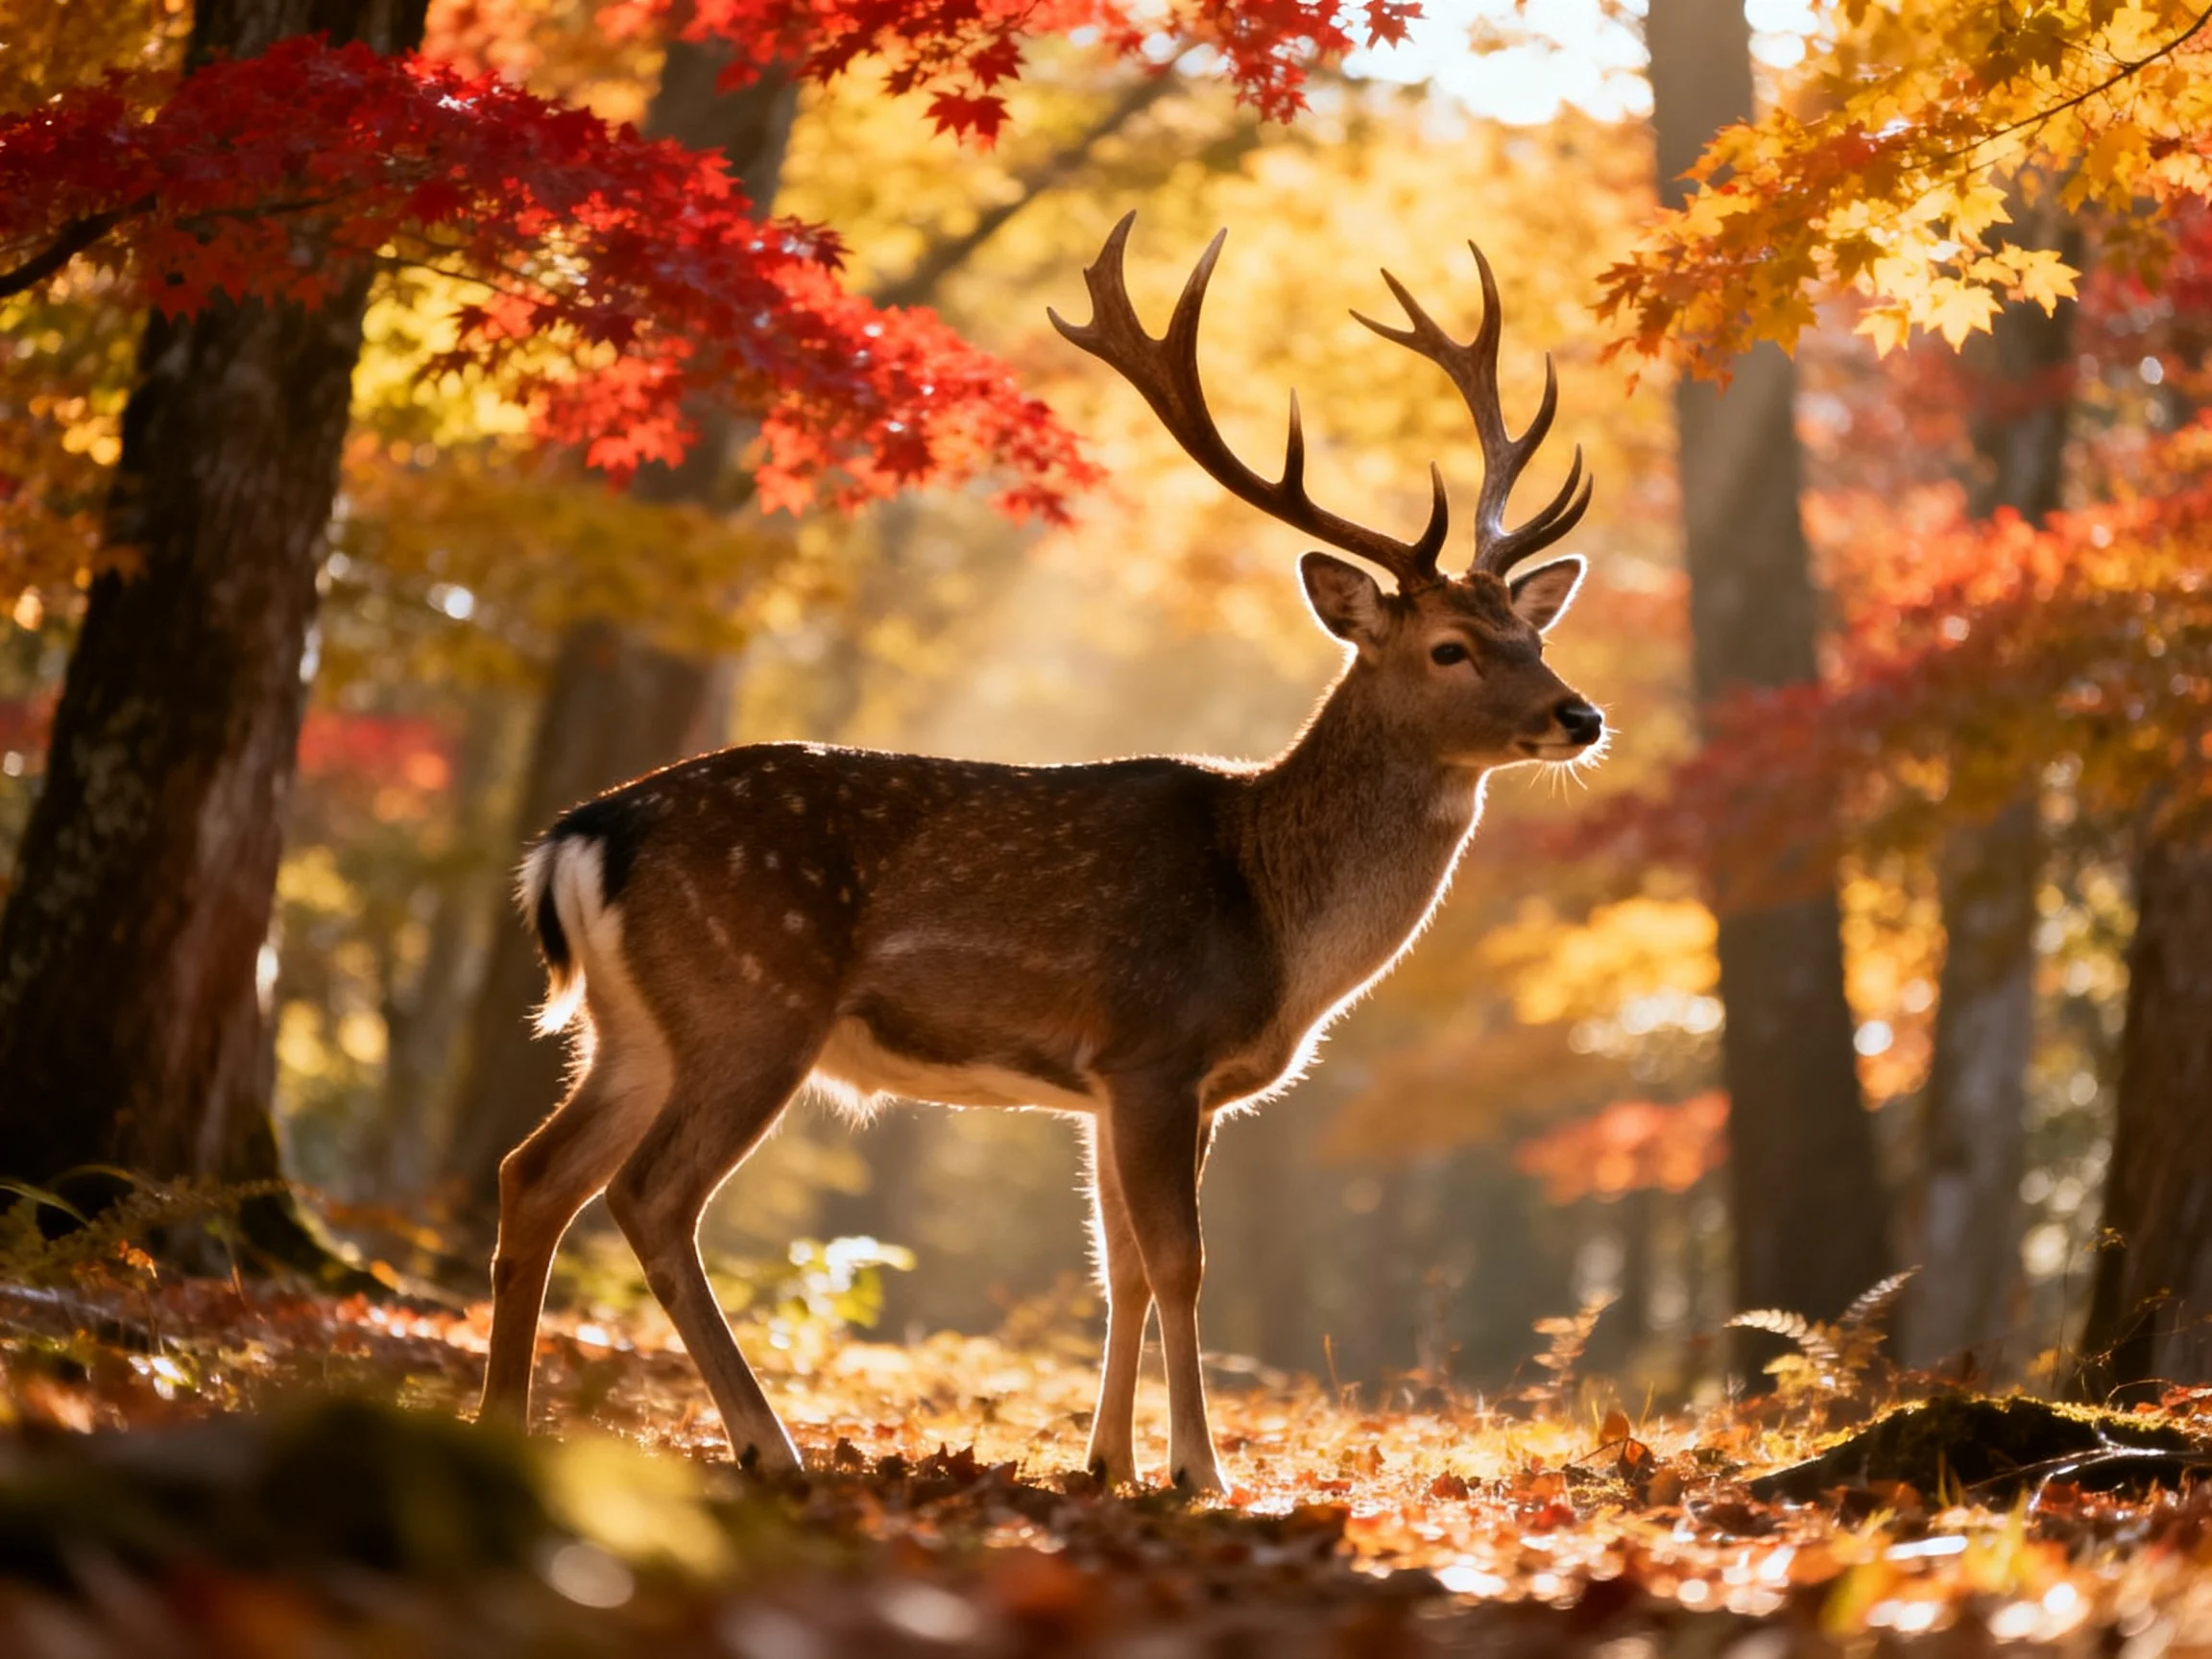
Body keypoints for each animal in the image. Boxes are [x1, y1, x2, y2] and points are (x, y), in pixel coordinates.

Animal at [477, 213, 1604, 1493]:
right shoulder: (1158, 1048)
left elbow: (1119, 1265)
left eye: (1533, 631)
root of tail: (580, 836)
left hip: (635, 1027)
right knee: (651, 1196)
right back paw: (770, 1444)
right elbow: (1180, 1262)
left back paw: (506, 1419)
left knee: (535, 1174)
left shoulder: (1109, 1085)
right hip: (750, 1001)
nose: (1579, 715)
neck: (1275, 918)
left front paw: (1107, 1462)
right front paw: (1201, 1473)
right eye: (1452, 647)